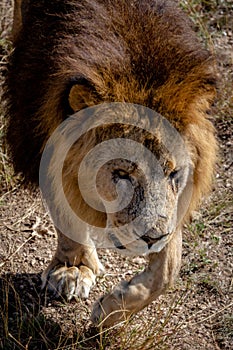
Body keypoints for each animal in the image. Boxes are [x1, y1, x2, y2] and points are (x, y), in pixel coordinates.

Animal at [4, 0, 218, 328]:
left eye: (174, 174)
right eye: (121, 174)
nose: (152, 238)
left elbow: (169, 267)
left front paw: (112, 310)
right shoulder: (43, 140)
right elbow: (66, 211)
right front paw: (73, 268)